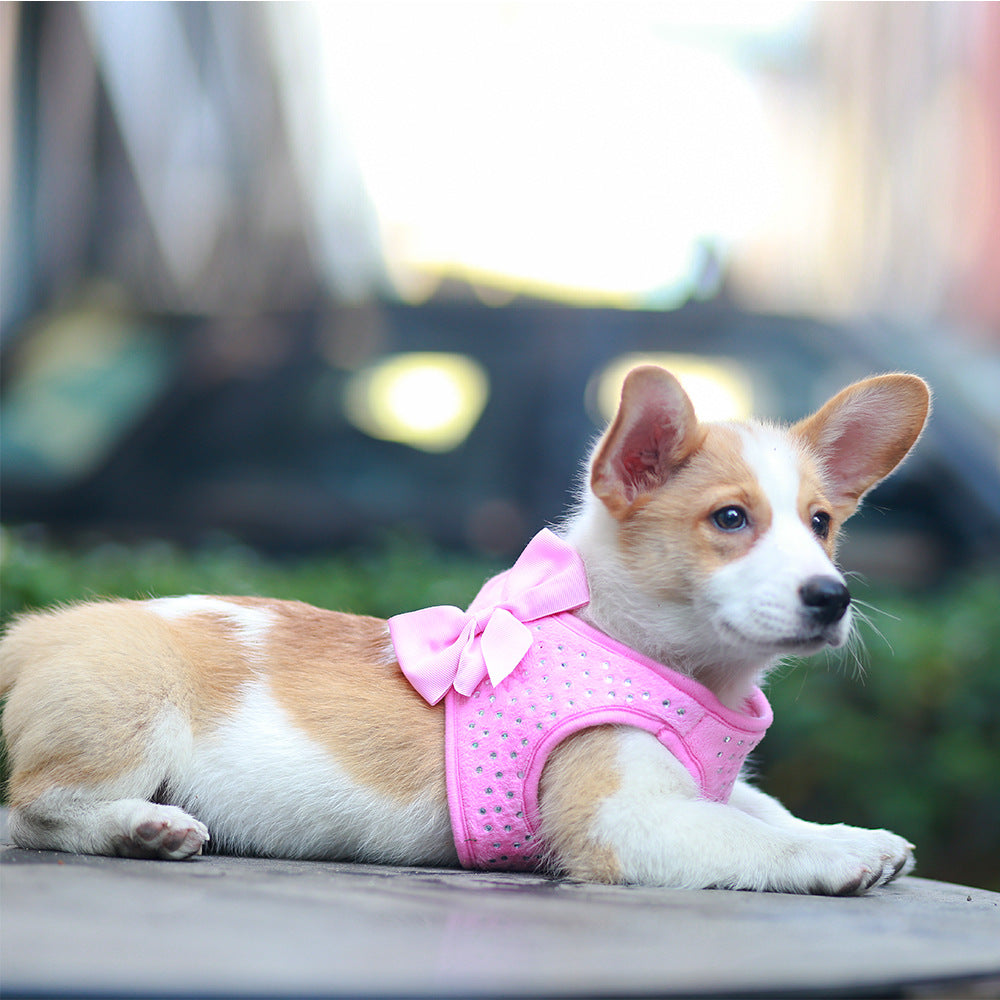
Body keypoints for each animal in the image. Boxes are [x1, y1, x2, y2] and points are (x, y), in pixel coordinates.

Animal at [0, 366, 928, 892]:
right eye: (730, 519)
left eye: (821, 524)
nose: (832, 597)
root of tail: (30, 634)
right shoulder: (623, 821)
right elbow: (745, 834)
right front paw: (834, 861)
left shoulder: (693, 786)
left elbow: (764, 806)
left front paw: (849, 836)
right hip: (128, 714)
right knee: (29, 810)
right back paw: (142, 828)